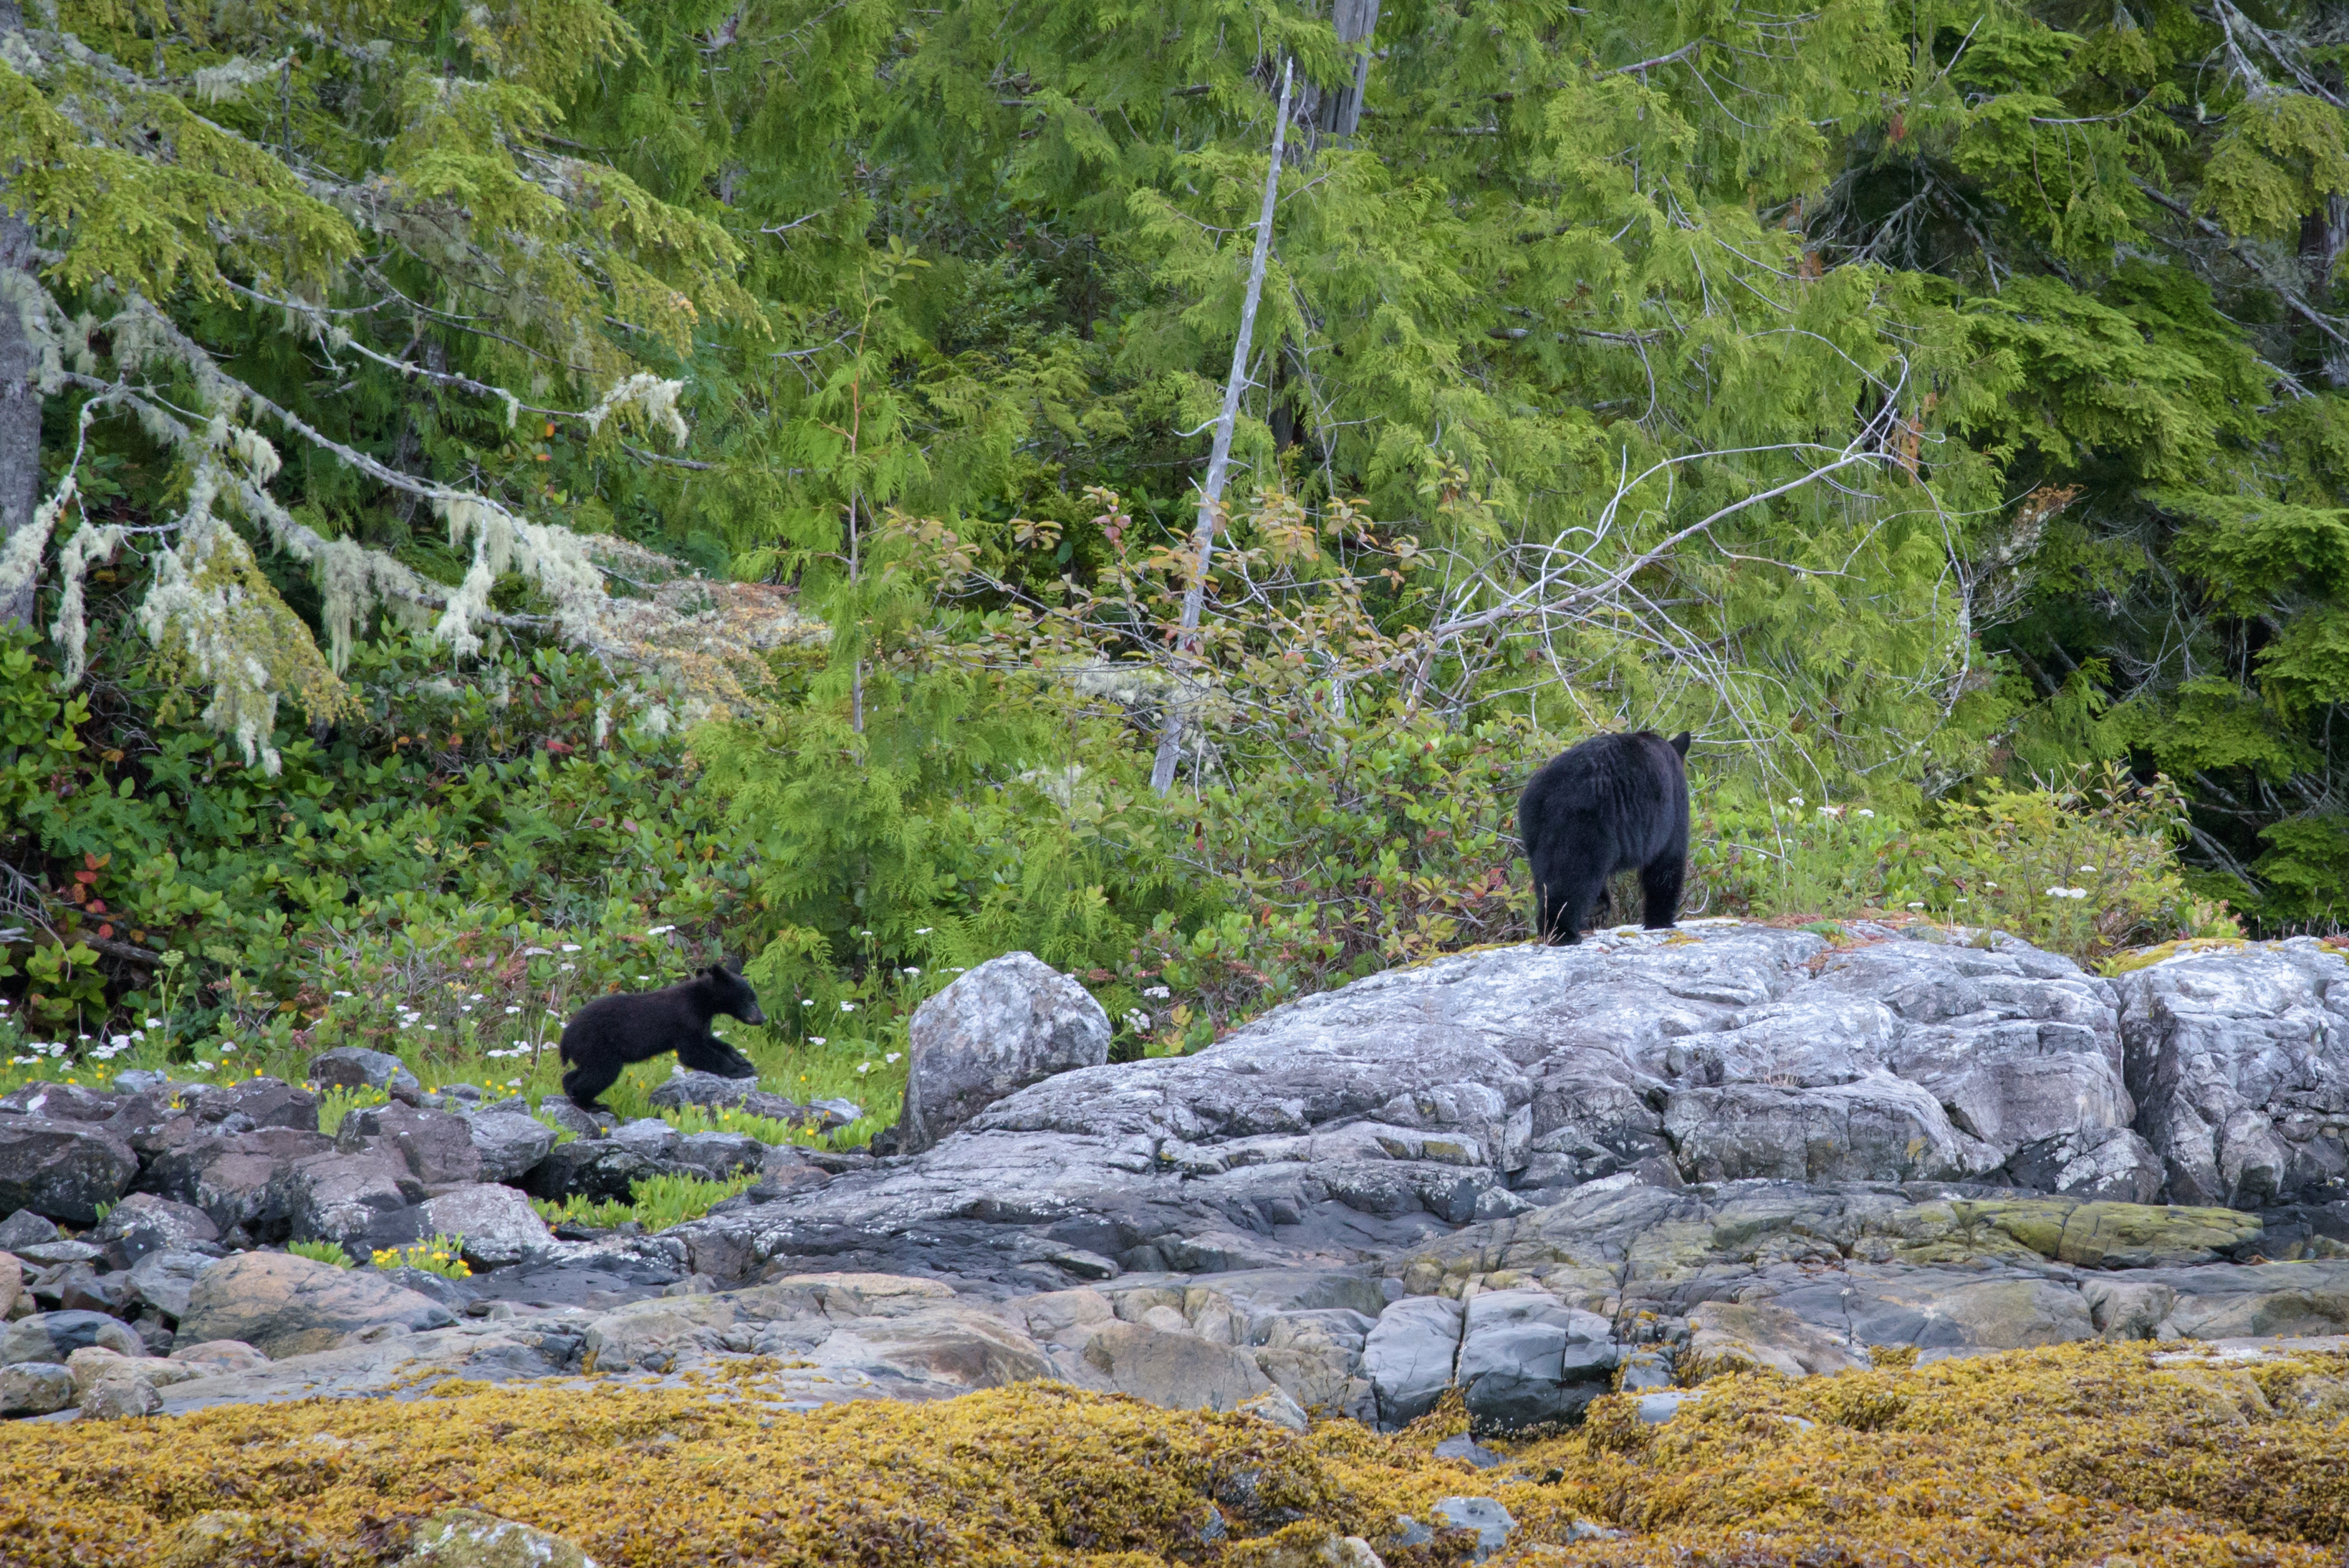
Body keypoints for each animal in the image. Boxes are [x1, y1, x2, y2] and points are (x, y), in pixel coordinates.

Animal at [558, 964, 768, 1112]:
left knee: (583, 1072)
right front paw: (738, 1070)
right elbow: (693, 1052)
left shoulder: (700, 1023)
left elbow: (711, 1041)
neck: (702, 1001)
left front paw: (743, 1061)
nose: (763, 1018)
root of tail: (565, 1038)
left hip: (586, 1051)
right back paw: (590, 1104)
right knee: (603, 1072)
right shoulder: (685, 1020)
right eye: (749, 999)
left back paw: (574, 1090)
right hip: (596, 1044)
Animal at [1516, 729, 1691, 945]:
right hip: (1587, 822)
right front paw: (1660, 920)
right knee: (1573, 873)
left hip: (1534, 824)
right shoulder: (1674, 809)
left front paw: (1599, 905)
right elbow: (1666, 864)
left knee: (1546, 876)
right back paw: (1563, 932)